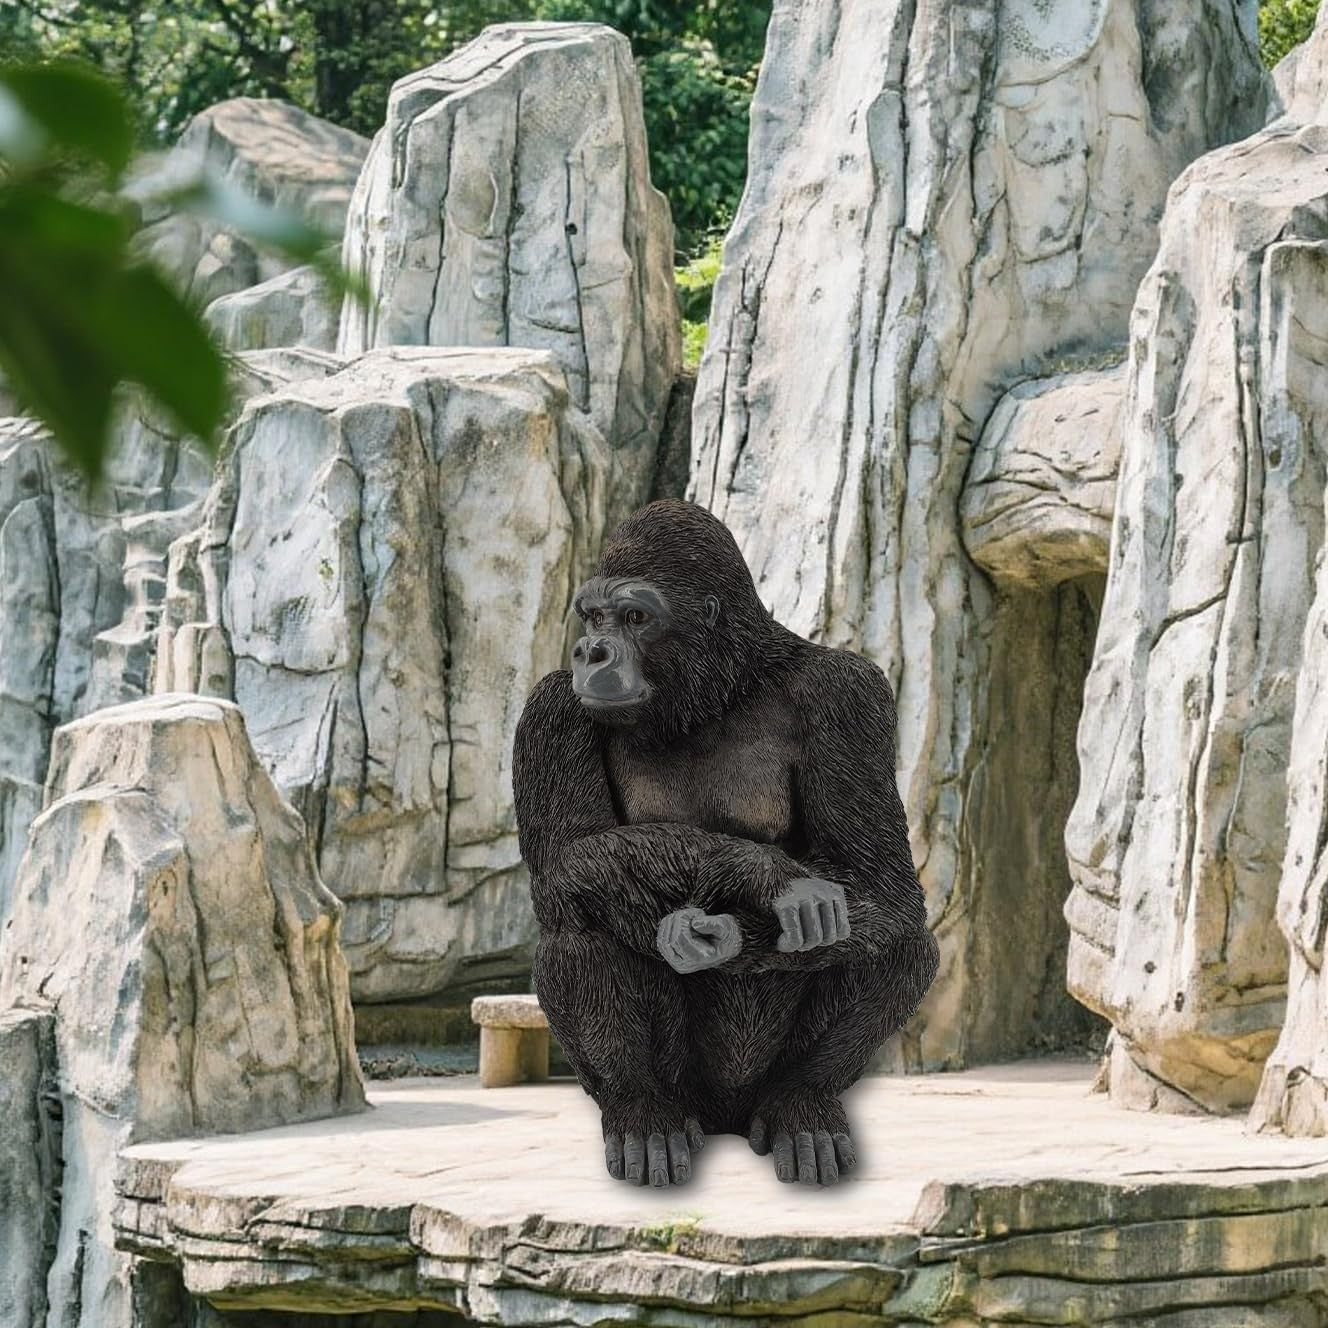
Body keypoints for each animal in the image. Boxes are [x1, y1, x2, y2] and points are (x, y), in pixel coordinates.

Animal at [512, 499, 938, 1187]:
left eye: (635, 617)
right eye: (593, 615)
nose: (591, 651)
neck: (723, 687)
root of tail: (726, 1124)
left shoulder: (849, 694)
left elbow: (882, 881)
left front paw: (730, 928)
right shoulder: (550, 708)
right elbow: (570, 857)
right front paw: (761, 874)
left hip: (755, 1094)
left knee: (895, 937)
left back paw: (803, 1104)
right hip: (683, 1094)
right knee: (578, 909)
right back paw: (642, 1113)